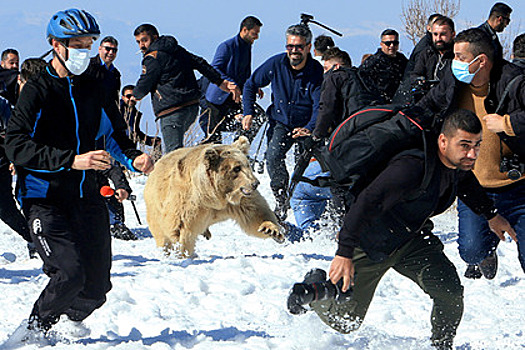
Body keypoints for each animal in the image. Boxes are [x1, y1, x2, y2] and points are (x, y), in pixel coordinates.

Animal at [142, 135, 282, 256]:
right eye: (236, 168)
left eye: (247, 164)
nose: (255, 183)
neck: (215, 196)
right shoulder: (188, 202)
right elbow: (180, 229)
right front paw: (184, 252)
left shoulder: (239, 202)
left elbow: (255, 214)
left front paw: (271, 230)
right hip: (155, 206)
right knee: (160, 233)